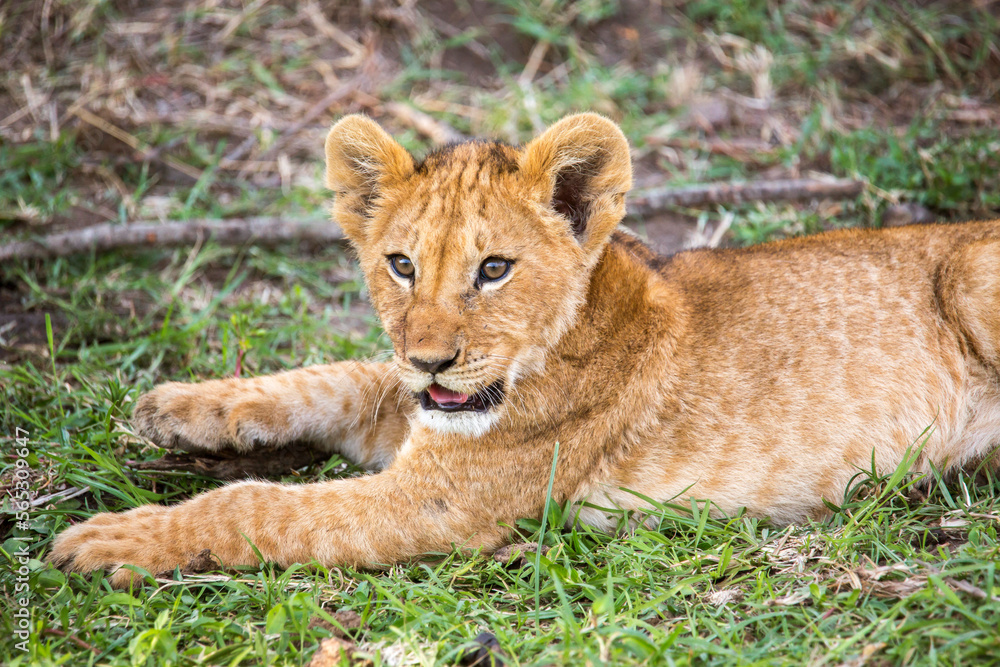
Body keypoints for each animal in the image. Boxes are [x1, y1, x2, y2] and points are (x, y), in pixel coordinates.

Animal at [50, 113, 1000, 587]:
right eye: (401, 264)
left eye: (495, 269)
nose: (433, 360)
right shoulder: (416, 407)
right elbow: (334, 379)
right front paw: (177, 407)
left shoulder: (441, 501)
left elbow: (253, 505)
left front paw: (112, 539)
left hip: (971, 274)